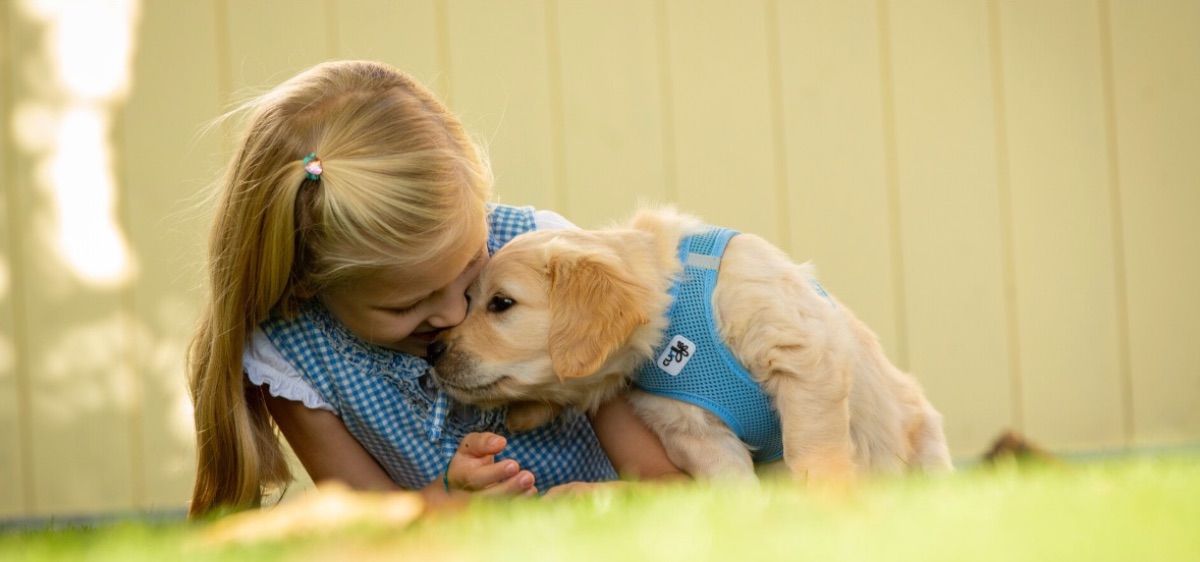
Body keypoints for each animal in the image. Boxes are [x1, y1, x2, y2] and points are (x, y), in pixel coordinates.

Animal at [427, 206, 950, 482]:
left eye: (501, 304)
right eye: (467, 300)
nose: (432, 350)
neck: (675, 309)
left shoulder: (801, 356)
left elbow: (812, 455)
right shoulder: (692, 431)